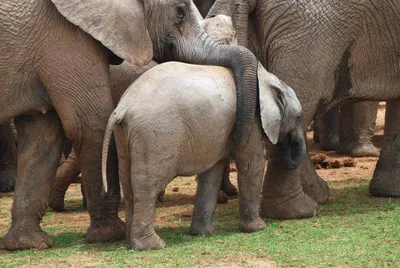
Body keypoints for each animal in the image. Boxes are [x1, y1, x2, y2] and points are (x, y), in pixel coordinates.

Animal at [0, 0, 260, 251]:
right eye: (179, 11)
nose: (237, 131)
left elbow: (41, 137)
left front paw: (30, 244)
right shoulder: (64, 39)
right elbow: (90, 124)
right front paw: (110, 235)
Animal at [101, 61, 304, 250]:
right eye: (299, 116)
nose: (286, 147)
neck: (267, 79)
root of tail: (123, 107)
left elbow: (212, 173)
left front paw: (204, 233)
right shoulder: (251, 121)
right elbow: (252, 165)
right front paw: (258, 228)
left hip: (126, 136)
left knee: (128, 185)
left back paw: (130, 242)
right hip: (155, 135)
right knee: (148, 186)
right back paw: (153, 245)